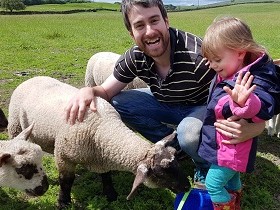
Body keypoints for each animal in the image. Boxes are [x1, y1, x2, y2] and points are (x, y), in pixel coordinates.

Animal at [7, 76, 190, 209]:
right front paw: (63, 202)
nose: (187, 187)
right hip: (16, 127)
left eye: (176, 163)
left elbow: (106, 176)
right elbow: (66, 181)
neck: (103, 128)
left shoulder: (101, 156)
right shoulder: (64, 156)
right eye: (161, 174)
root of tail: (32, 78)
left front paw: (111, 195)